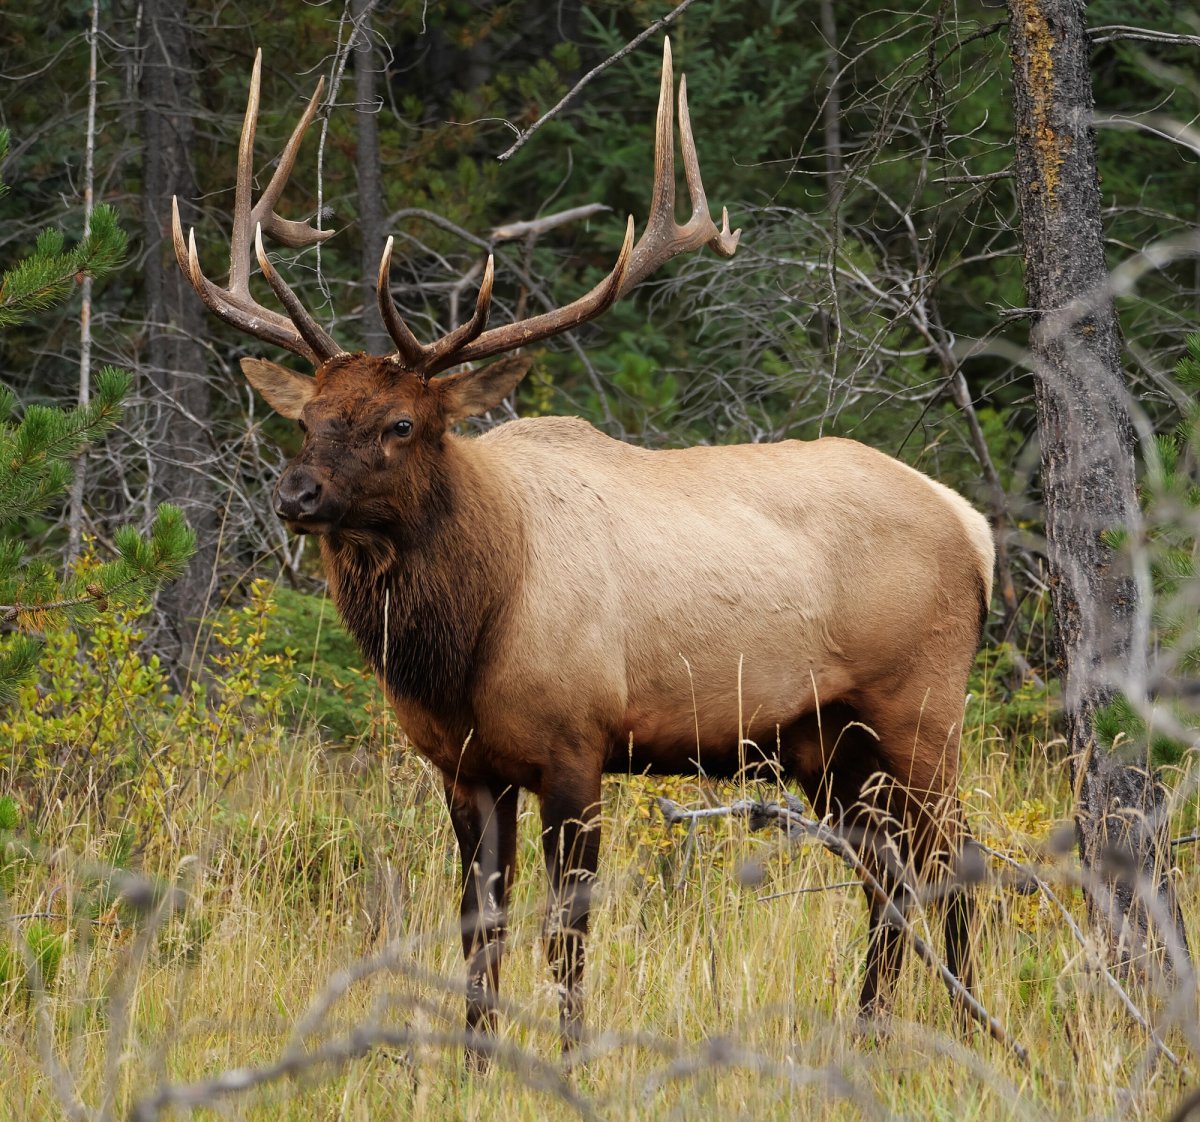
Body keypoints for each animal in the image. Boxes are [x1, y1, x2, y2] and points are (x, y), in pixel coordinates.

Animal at [171, 41, 995, 1062]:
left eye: (402, 423)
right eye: (309, 417)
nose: (297, 493)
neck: (468, 633)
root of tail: (973, 525)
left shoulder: (577, 744)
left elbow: (568, 928)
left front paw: (569, 1055)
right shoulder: (464, 767)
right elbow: (480, 924)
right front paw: (476, 1056)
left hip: (921, 707)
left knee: (955, 859)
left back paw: (970, 1030)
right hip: (825, 740)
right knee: (885, 875)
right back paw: (871, 1031)